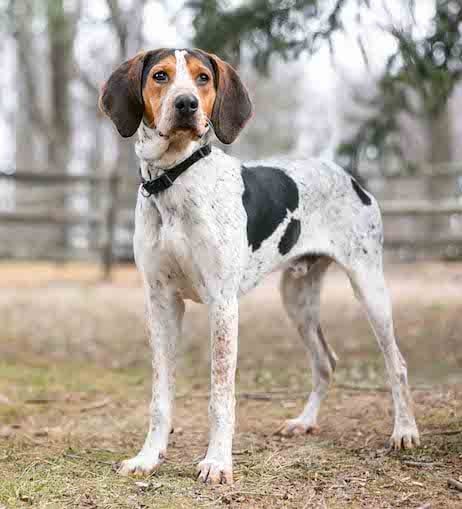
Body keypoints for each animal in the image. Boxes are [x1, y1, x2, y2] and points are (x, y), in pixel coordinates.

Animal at [99, 47, 420, 484]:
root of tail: (349, 177)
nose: (187, 105)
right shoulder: (161, 302)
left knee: (397, 363)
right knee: (325, 362)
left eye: (202, 78)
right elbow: (160, 397)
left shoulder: (222, 304)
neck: (174, 179)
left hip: (369, 288)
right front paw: (148, 457)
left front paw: (217, 462)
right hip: (297, 300)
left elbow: (221, 396)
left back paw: (404, 431)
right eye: (160, 76)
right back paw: (305, 421)